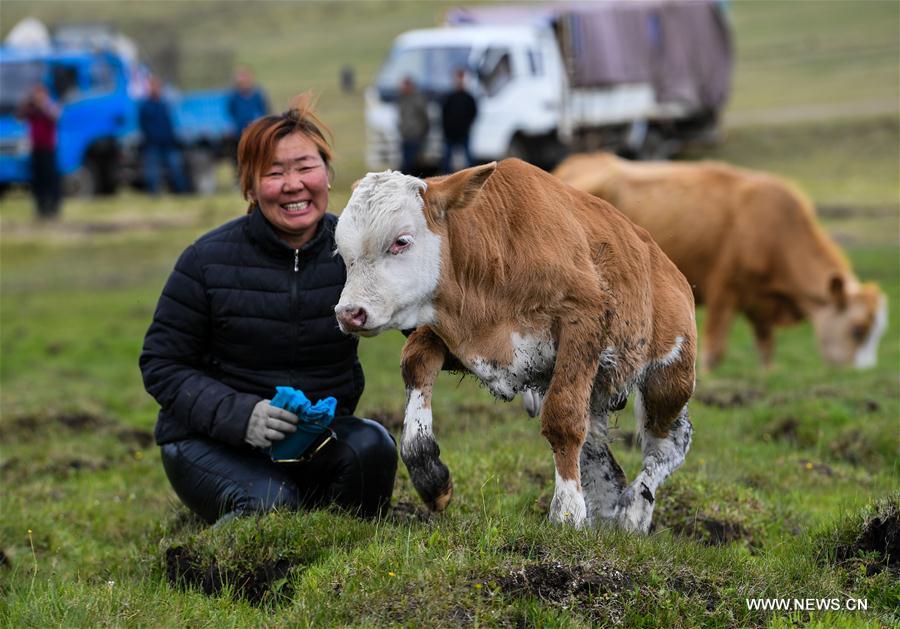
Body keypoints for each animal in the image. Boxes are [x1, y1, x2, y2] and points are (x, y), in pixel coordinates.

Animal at [334, 159, 692, 532]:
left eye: (401, 241)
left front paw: (567, 511)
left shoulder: (585, 320)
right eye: (341, 252)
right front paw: (430, 475)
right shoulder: (470, 339)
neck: (498, 253)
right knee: (595, 443)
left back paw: (635, 510)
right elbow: (415, 362)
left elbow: (563, 419)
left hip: (669, 377)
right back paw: (609, 507)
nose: (349, 313)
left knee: (667, 446)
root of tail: (667, 267)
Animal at [552, 152, 888, 370]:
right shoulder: (723, 291)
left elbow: (767, 350)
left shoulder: (758, 304)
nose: (863, 375)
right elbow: (715, 351)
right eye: (857, 330)